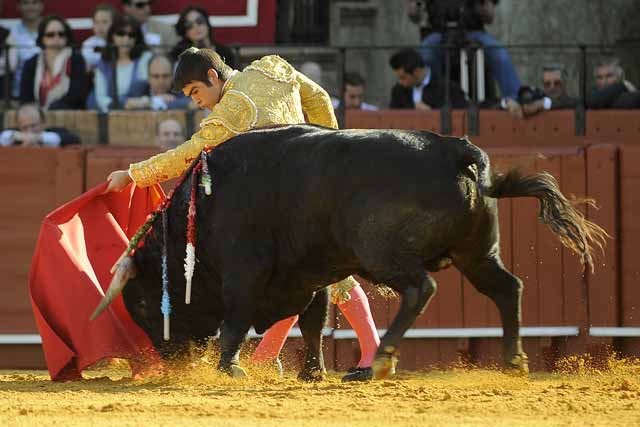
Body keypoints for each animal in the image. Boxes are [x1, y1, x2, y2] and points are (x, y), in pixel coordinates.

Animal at [90, 123, 604, 382]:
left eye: (141, 303)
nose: (171, 360)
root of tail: (454, 150)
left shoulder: (245, 271)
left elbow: (236, 319)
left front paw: (228, 368)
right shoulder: (309, 273)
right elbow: (314, 321)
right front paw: (312, 373)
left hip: (384, 253)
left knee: (421, 288)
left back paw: (379, 361)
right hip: (475, 252)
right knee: (506, 287)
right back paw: (514, 359)